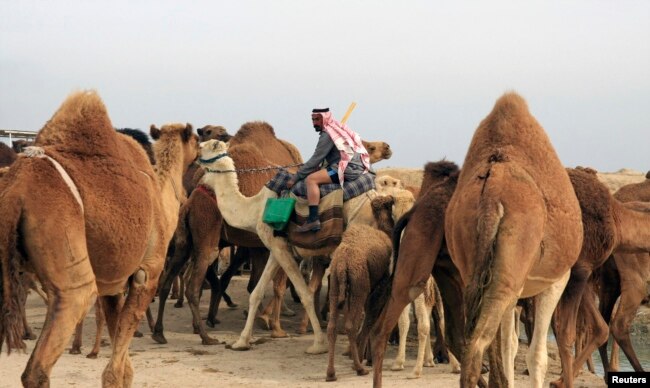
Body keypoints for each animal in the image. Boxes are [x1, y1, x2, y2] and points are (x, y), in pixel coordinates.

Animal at [0, 91, 197, 388]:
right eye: (198, 137)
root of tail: (14, 192)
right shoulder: (146, 274)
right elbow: (115, 370)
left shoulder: (113, 286)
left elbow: (124, 363)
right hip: (64, 242)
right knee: (39, 365)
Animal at [196, 139, 380, 354]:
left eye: (203, 149)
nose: (199, 183)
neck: (255, 208)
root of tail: (375, 199)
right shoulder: (276, 247)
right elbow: (257, 292)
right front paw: (241, 342)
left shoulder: (280, 248)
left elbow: (305, 293)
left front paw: (319, 344)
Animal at [326, 196, 392, 380]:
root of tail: (343, 262)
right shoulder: (380, 288)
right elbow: (370, 319)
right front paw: (367, 359)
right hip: (358, 288)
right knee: (351, 326)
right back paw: (359, 368)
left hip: (336, 286)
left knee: (332, 327)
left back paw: (331, 373)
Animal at [442, 92, 580, 386]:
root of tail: (491, 194)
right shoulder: (555, 279)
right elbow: (535, 355)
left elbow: (509, 348)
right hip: (507, 278)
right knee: (477, 346)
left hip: (476, 269)